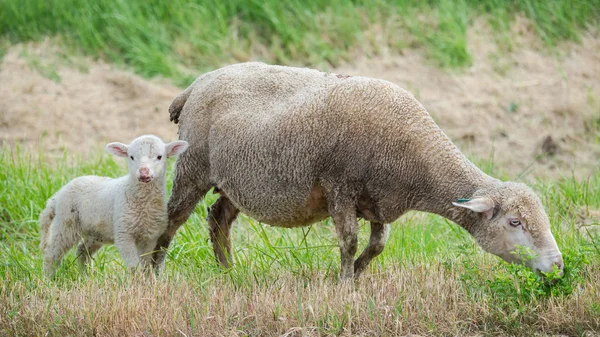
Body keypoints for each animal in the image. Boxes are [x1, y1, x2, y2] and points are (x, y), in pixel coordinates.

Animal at [38, 134, 188, 276]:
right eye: (131, 157)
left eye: (159, 156)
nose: (143, 172)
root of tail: (58, 195)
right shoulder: (124, 234)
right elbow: (134, 267)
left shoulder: (150, 236)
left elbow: (145, 265)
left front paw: (146, 281)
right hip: (66, 224)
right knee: (52, 254)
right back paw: (49, 279)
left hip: (96, 233)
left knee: (82, 251)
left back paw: (85, 276)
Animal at [150, 62, 564, 278]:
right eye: (515, 223)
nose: (559, 266)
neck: (417, 163)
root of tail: (195, 85)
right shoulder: (340, 187)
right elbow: (348, 240)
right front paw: (345, 281)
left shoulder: (379, 200)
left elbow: (378, 245)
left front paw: (360, 274)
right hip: (194, 166)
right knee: (172, 218)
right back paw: (154, 271)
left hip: (236, 180)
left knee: (218, 217)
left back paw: (228, 271)